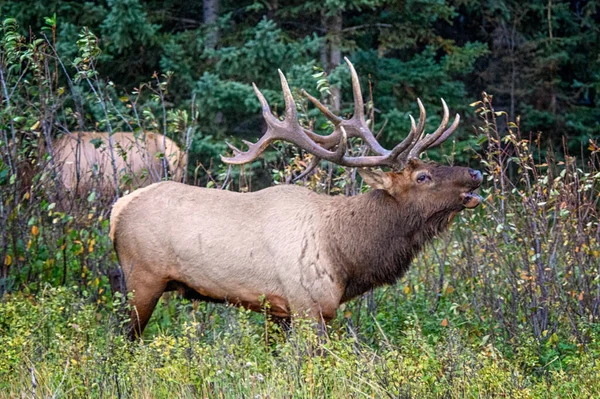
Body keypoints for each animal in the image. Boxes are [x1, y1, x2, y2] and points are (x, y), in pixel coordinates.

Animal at [109, 59, 482, 340]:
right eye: (423, 177)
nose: (476, 173)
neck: (346, 255)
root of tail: (117, 210)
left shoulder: (278, 310)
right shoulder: (308, 305)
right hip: (142, 279)